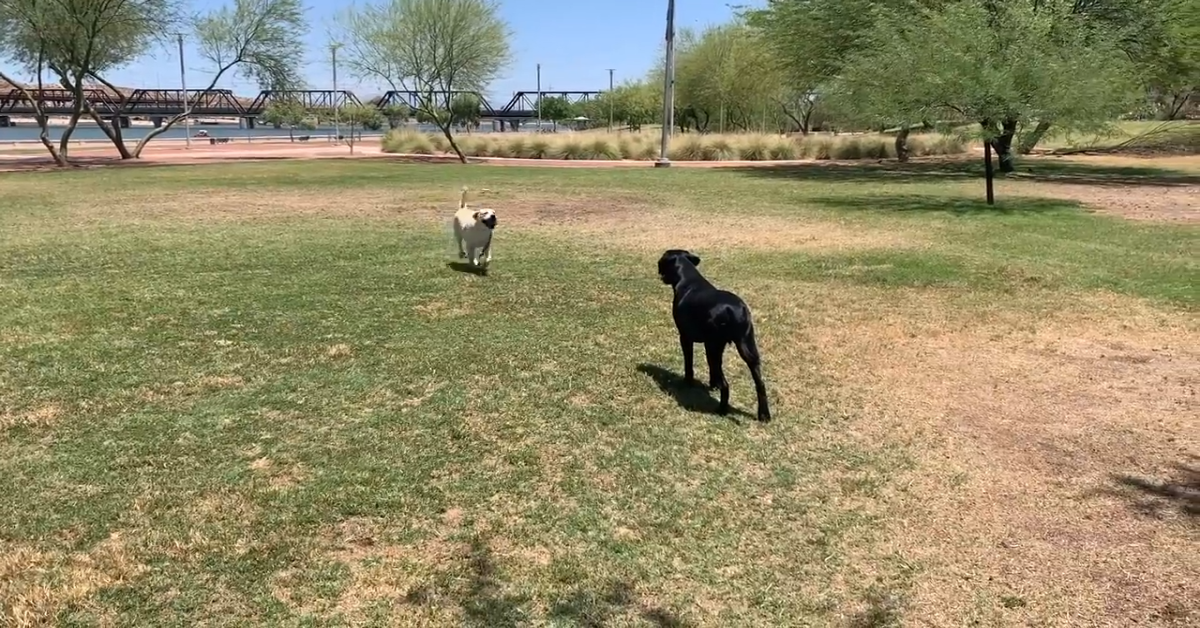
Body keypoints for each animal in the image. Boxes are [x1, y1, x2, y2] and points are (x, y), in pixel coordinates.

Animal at [657, 249, 768, 422]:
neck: (688, 279)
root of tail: (733, 310)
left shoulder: (685, 337)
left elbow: (689, 363)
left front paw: (687, 382)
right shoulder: (717, 346)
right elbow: (713, 370)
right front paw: (712, 385)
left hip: (713, 347)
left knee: (726, 385)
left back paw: (721, 410)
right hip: (746, 347)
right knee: (760, 383)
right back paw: (764, 415)